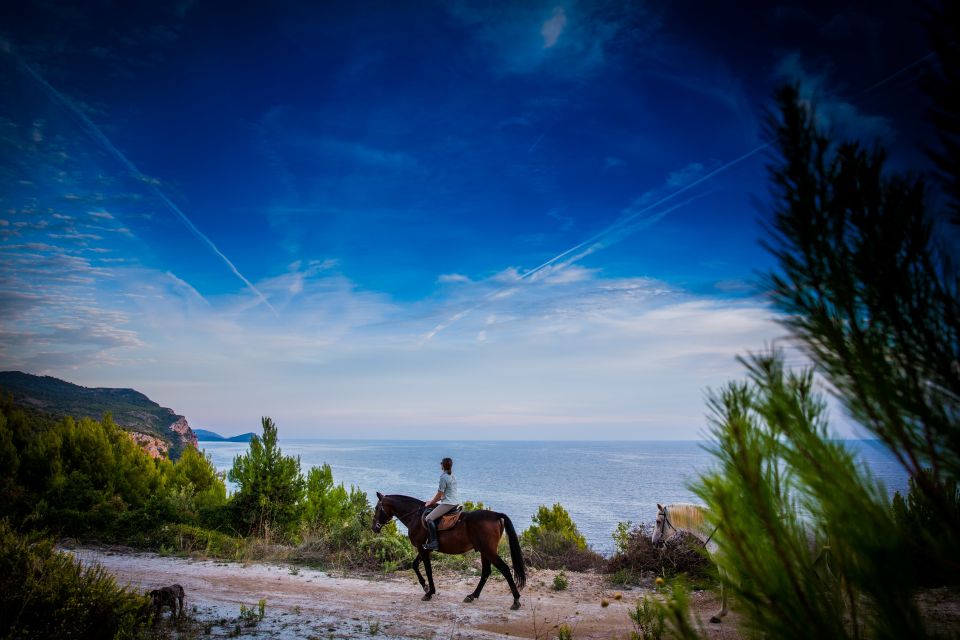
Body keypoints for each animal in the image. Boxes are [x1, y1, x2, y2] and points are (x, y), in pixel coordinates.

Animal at [374, 492, 524, 608]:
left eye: (377, 508)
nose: (374, 528)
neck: (415, 516)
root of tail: (496, 515)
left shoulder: (422, 548)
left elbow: (427, 569)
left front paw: (429, 592)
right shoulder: (426, 549)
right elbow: (415, 565)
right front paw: (425, 586)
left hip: (488, 551)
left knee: (505, 569)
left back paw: (516, 601)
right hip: (484, 552)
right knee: (486, 572)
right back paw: (472, 596)